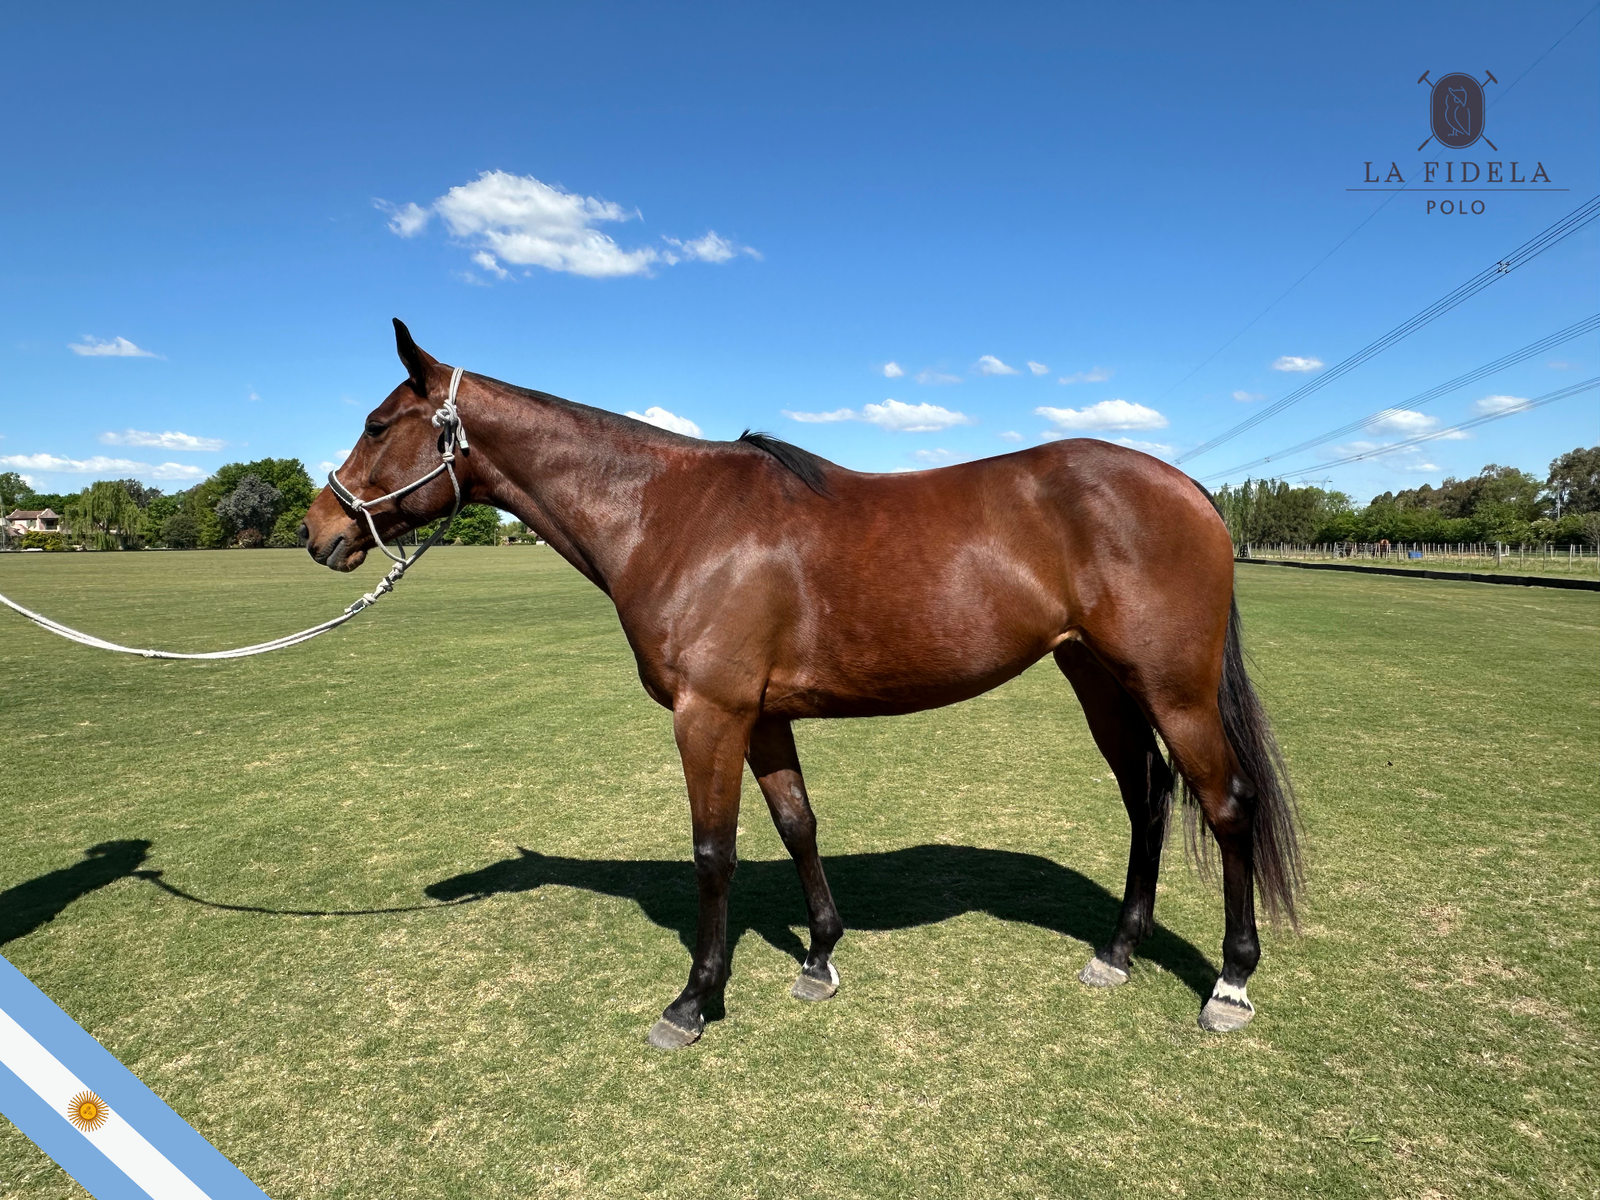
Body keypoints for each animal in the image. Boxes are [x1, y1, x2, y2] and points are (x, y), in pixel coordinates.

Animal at [300, 321, 1299, 1049]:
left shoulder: (710, 716)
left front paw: (693, 1002)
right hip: (1098, 677)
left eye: (378, 425)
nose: (319, 530)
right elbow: (797, 824)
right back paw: (1118, 952)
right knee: (1148, 796)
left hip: (1172, 689)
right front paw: (819, 959)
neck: (670, 516)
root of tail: (1191, 490)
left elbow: (715, 853)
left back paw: (1229, 982)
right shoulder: (763, 716)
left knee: (1225, 804)